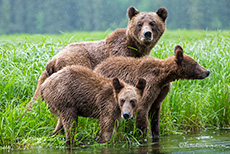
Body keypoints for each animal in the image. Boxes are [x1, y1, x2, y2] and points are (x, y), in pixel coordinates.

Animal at [29, 6, 168, 107]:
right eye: (139, 23)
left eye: (152, 23)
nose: (147, 34)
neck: (136, 48)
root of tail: (53, 60)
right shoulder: (120, 54)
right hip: (76, 61)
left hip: (45, 76)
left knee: (36, 96)